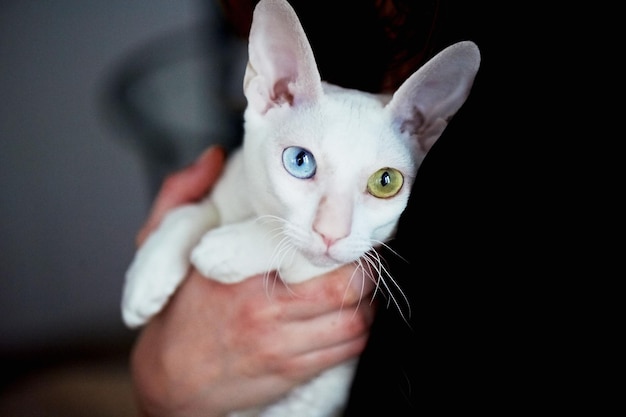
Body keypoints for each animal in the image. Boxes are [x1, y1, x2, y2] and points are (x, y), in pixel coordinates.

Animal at [120, 0, 478, 412]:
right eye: (300, 161)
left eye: (385, 182)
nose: (331, 232)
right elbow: (192, 210)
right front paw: (146, 277)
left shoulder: (349, 266)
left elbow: (292, 250)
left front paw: (223, 250)